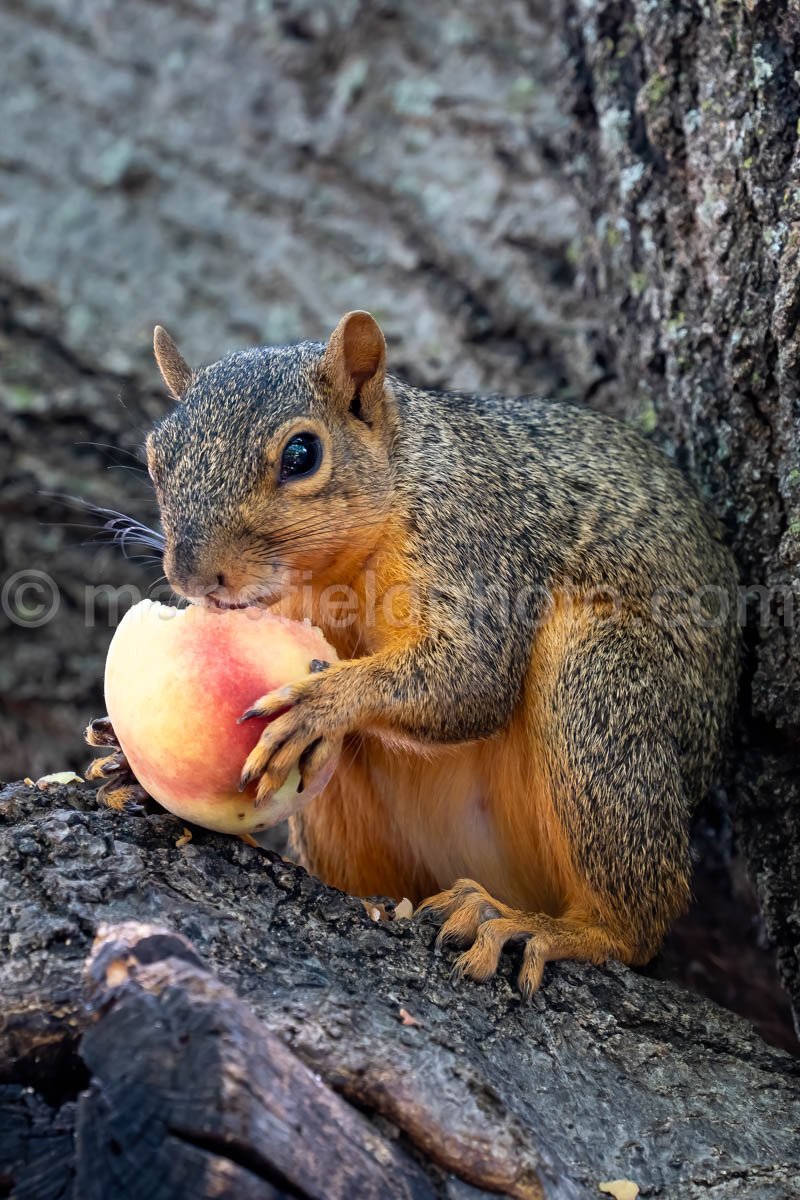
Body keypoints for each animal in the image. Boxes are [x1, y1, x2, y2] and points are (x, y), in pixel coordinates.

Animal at [86, 309, 738, 993]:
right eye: (156, 456)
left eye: (302, 454)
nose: (190, 577)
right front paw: (126, 764)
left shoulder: (472, 539)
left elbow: (471, 675)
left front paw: (323, 702)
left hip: (598, 684)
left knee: (636, 923)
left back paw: (543, 927)